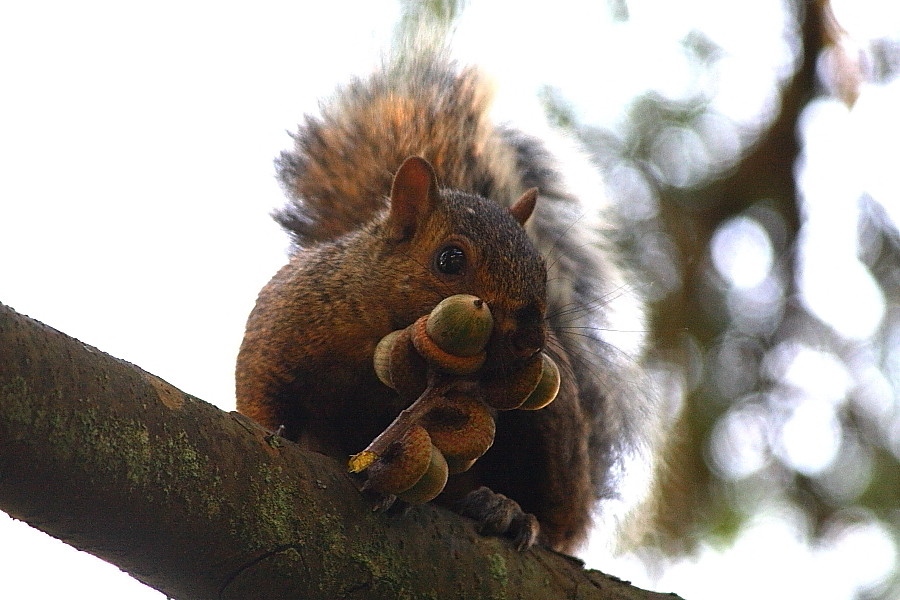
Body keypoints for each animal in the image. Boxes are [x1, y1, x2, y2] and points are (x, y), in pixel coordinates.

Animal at [236, 52, 656, 552]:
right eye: (451, 259)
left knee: (556, 519)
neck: (388, 332)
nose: (533, 339)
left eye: (542, 268)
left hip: (554, 431)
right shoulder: (279, 327)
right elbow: (261, 395)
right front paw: (279, 432)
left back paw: (508, 510)